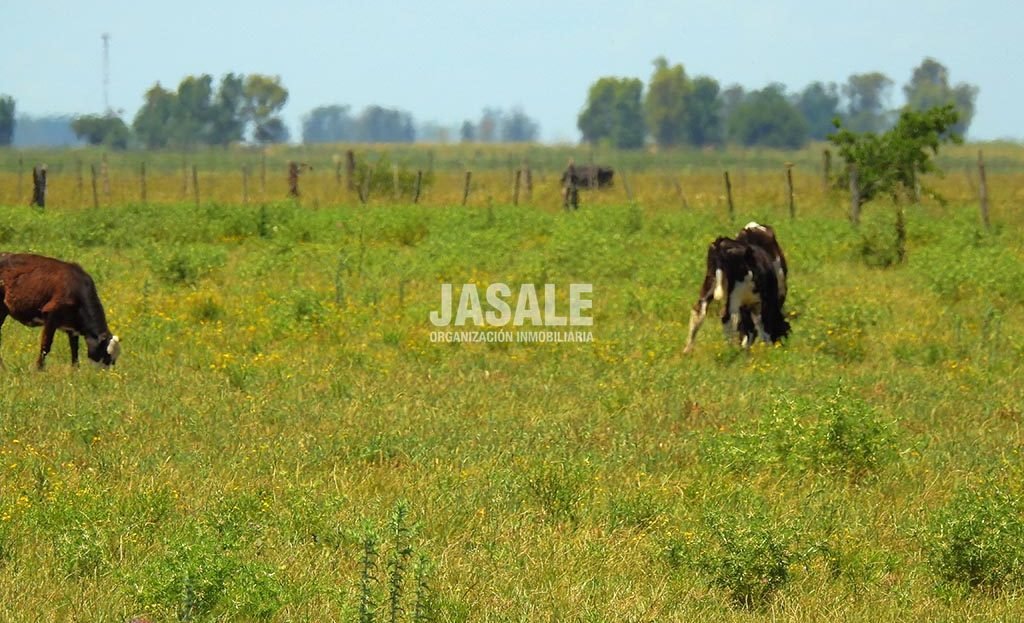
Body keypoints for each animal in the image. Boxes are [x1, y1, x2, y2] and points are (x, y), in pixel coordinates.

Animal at [683, 222, 790, 354]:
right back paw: (732, 351)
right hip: (735, 294)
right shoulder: (763, 302)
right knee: (728, 319)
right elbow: (760, 324)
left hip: (710, 282)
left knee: (698, 311)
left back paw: (687, 350)